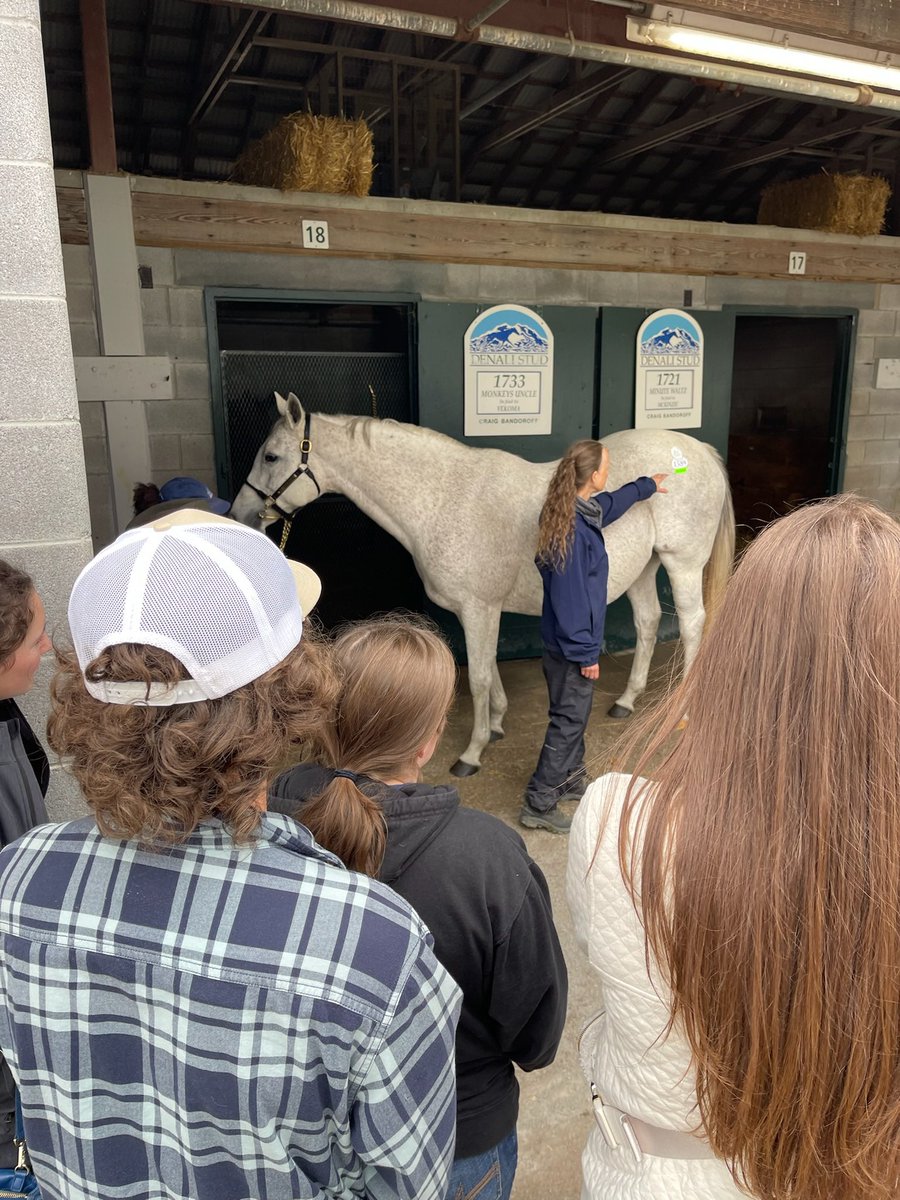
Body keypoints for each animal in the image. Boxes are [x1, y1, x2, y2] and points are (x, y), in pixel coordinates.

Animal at [230, 392, 735, 776]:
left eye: (271, 456)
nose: (241, 515)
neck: (444, 496)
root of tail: (699, 450)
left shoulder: (478, 609)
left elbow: (477, 676)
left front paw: (472, 753)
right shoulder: (479, 611)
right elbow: (489, 669)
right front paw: (496, 724)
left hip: (681, 564)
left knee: (693, 624)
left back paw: (682, 710)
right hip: (644, 568)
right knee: (648, 623)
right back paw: (627, 701)